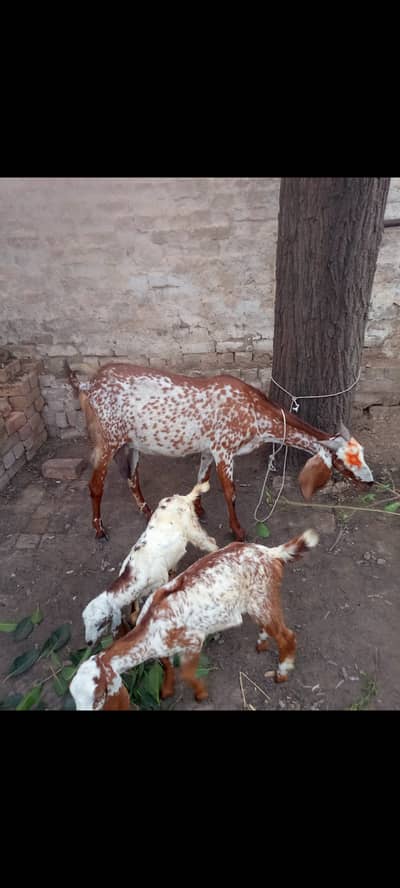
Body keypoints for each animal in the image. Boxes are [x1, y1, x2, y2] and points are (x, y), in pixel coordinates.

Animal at [65, 362, 373, 541]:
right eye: (344, 461)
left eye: (362, 453)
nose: (370, 483)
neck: (255, 414)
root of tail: (88, 384)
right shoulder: (225, 449)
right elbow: (230, 491)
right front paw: (238, 531)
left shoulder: (208, 449)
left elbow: (202, 479)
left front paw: (199, 510)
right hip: (108, 439)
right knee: (95, 485)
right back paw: (99, 529)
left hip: (131, 443)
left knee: (131, 477)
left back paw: (147, 510)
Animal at [70, 528, 319, 710]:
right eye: (74, 698)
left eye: (98, 696)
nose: (89, 642)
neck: (150, 628)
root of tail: (270, 553)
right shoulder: (163, 647)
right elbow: (167, 665)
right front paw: (166, 690)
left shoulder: (193, 640)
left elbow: (187, 674)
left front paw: (200, 694)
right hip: (258, 602)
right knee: (270, 626)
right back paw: (262, 642)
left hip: (262, 598)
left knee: (287, 635)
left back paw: (282, 672)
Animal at [82, 480, 218, 645]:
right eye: (85, 623)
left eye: (100, 623)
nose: (89, 642)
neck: (135, 571)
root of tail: (183, 498)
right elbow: (134, 611)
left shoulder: (159, 582)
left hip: (193, 529)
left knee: (211, 542)